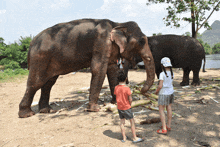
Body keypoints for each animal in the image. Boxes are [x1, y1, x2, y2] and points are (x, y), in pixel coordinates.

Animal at [18, 18, 156, 118]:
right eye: (142, 42)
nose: (141, 90)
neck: (117, 23)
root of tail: (31, 44)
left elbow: (112, 71)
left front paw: (116, 103)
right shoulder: (101, 43)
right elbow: (98, 69)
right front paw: (95, 109)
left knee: (48, 83)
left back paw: (47, 111)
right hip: (40, 59)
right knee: (36, 83)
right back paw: (27, 114)